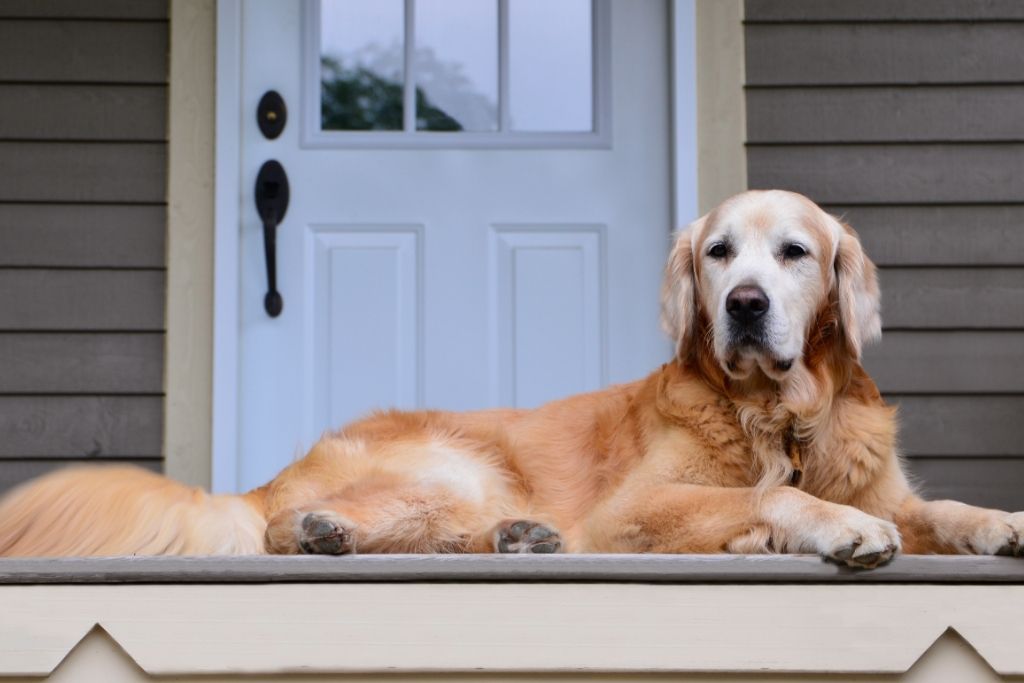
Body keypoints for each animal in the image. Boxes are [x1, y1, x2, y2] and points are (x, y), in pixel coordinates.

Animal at [2, 188, 1024, 565]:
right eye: (720, 251)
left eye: (795, 253)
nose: (741, 303)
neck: (780, 416)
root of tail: (272, 475)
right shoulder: (633, 511)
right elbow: (775, 497)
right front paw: (834, 526)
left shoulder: (889, 484)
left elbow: (940, 509)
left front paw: (1001, 521)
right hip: (449, 462)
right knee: (277, 531)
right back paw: (328, 528)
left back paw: (516, 535)